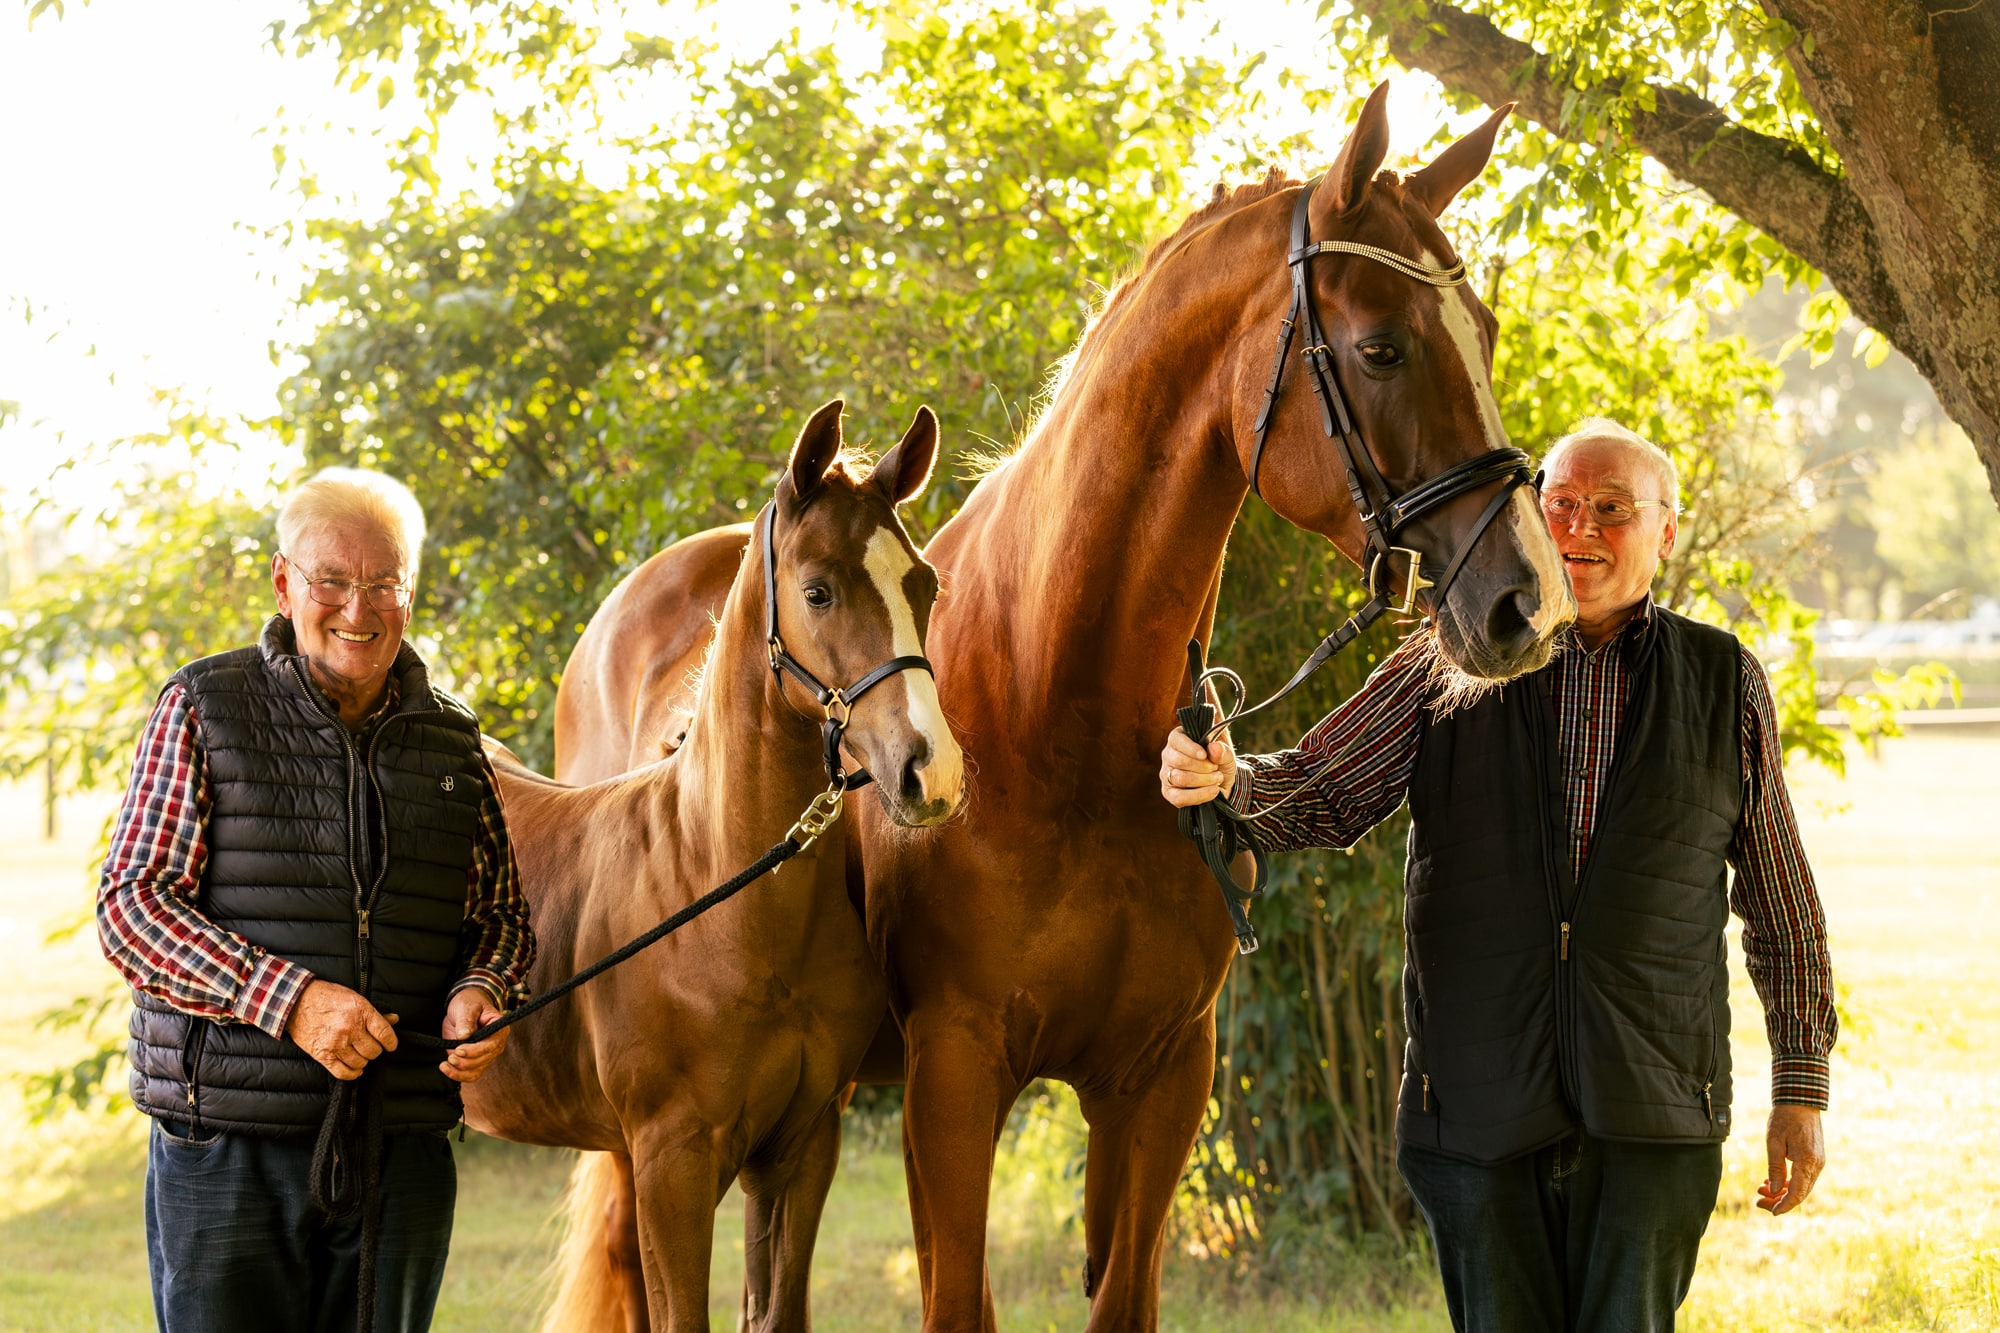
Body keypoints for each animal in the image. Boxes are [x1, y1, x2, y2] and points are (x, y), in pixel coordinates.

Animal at [468, 396, 968, 1328]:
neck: (723, 898)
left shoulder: (801, 1148)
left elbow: (776, 1311)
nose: (933, 773)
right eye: (818, 589)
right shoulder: (673, 1159)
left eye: (924, 584)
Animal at [556, 88, 1568, 1320]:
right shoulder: (952, 1074)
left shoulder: (1160, 1076)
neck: (1064, 729)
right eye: (1382, 347)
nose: (1526, 600)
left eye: (1486, 330)